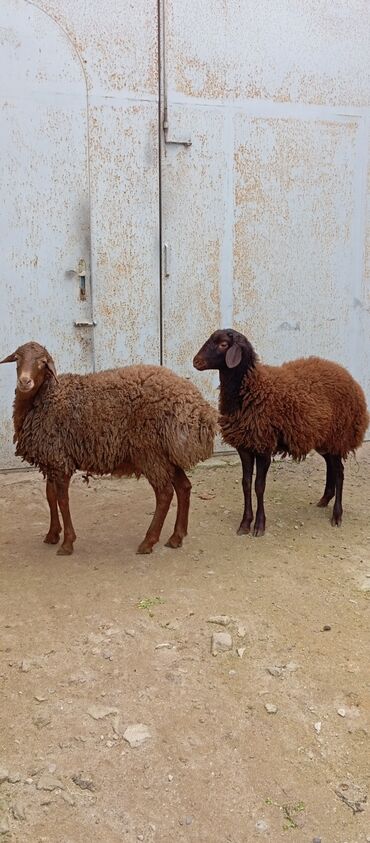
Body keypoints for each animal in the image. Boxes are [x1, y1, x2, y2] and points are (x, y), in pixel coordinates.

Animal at [2, 340, 217, 556]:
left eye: (42, 362)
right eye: (17, 358)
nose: (25, 382)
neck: (47, 397)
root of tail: (196, 409)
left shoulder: (60, 460)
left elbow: (62, 500)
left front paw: (67, 543)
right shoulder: (52, 458)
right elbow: (50, 496)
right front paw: (52, 535)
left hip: (149, 451)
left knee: (165, 493)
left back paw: (148, 541)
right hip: (166, 453)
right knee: (184, 487)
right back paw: (176, 537)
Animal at [194, 328, 368, 536]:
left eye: (223, 344)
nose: (196, 362)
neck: (252, 386)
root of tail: (346, 374)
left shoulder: (264, 446)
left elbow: (259, 486)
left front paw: (259, 525)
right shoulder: (245, 446)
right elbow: (246, 484)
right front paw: (245, 523)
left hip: (339, 435)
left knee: (340, 472)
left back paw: (337, 515)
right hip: (323, 438)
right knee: (331, 466)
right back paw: (325, 499)